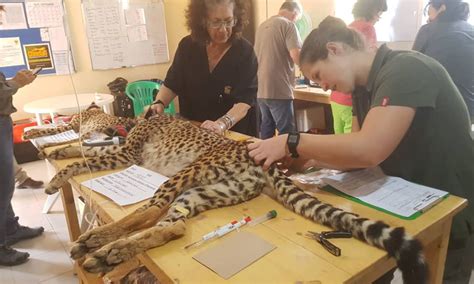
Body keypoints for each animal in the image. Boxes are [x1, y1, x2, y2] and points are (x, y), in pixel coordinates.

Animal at [45, 112, 430, 282]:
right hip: (206, 190)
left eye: (83, 116)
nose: (80, 123)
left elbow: (84, 156)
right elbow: (79, 152)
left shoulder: (125, 155)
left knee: (152, 210)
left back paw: (98, 243)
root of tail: (258, 154)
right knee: (175, 227)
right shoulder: (121, 152)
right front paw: (55, 150)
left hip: (190, 173)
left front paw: (56, 170)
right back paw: (109, 253)